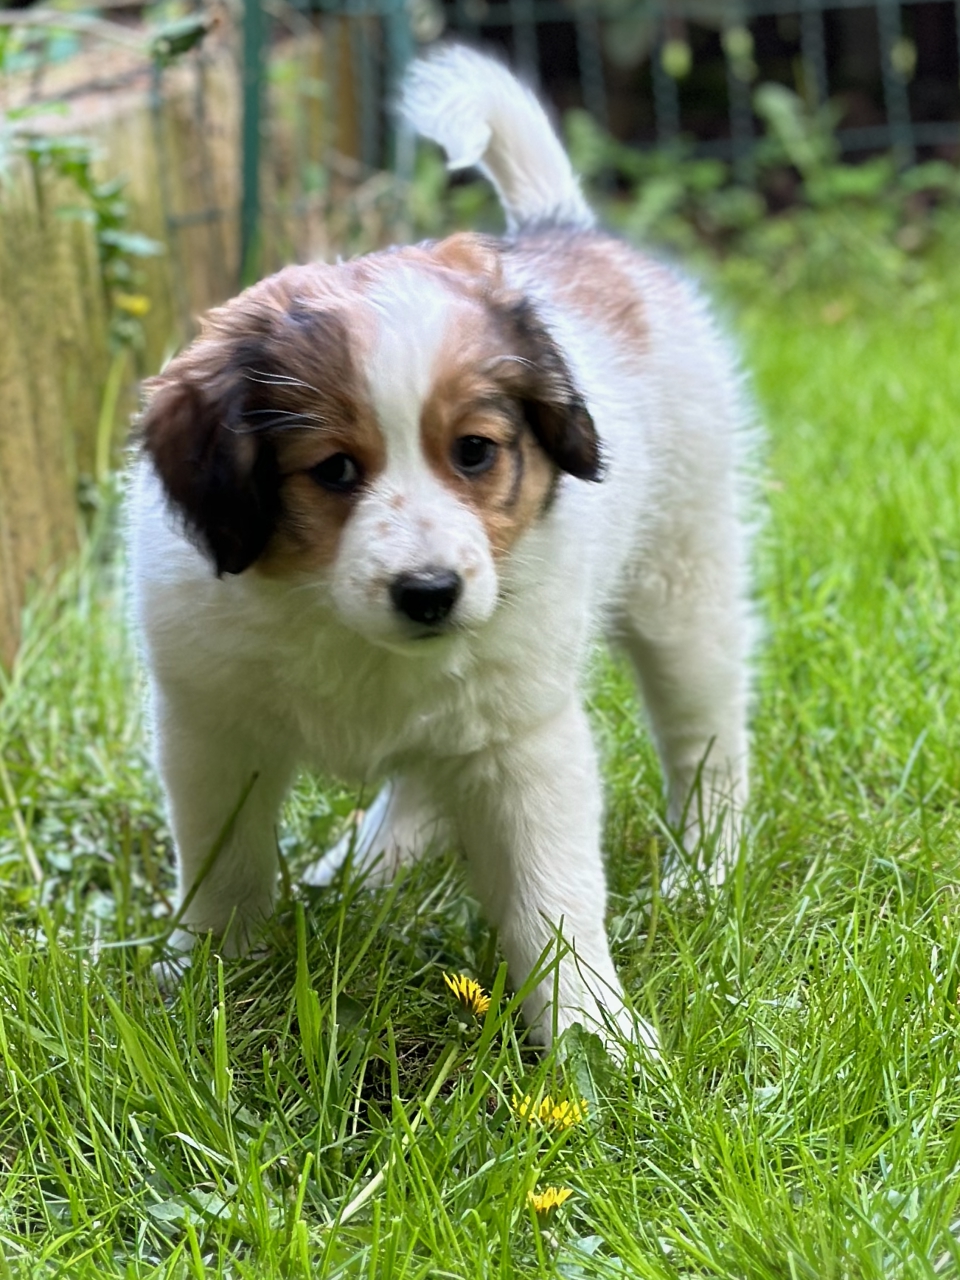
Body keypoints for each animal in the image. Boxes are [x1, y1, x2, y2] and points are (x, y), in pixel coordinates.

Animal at [129, 47, 757, 1049]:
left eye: (474, 452)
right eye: (334, 470)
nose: (429, 593)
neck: (333, 618)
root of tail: (561, 226)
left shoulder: (524, 737)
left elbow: (552, 898)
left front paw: (594, 1036)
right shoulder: (210, 726)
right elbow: (223, 868)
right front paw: (201, 976)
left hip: (683, 580)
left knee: (707, 735)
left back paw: (703, 869)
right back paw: (363, 867)